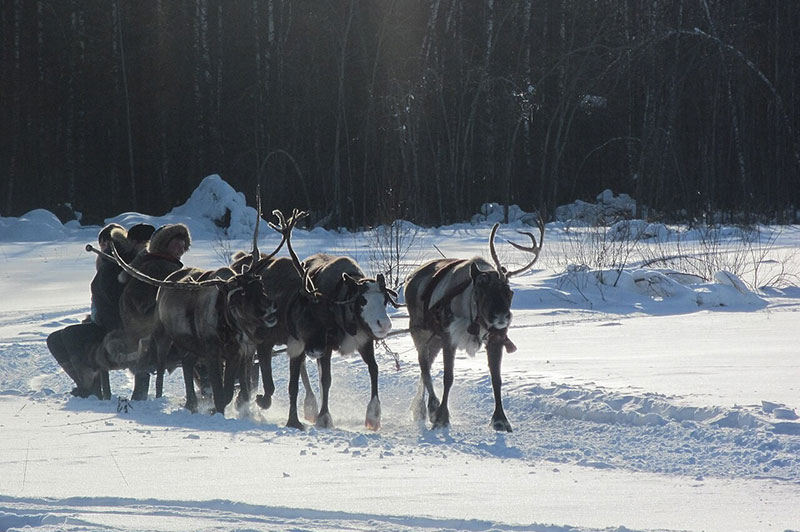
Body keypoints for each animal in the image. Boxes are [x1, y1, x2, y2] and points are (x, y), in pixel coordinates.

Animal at [403, 217, 544, 432]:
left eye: (509, 292)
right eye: (481, 290)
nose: (502, 316)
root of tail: (410, 278)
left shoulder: (496, 339)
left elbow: (496, 379)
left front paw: (501, 420)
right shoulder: (449, 337)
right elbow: (448, 377)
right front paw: (442, 417)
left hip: (434, 339)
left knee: (424, 366)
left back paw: (420, 408)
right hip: (419, 331)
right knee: (424, 365)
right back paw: (432, 407)